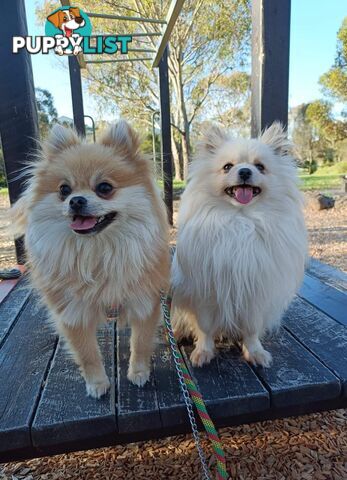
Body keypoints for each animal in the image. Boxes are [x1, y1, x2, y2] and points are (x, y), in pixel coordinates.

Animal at [12, 120, 171, 398]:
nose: (76, 200)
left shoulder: (145, 301)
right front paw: (97, 383)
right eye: (64, 190)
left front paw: (138, 372)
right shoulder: (73, 312)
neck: (97, 252)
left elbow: (140, 342)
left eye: (104, 188)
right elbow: (87, 353)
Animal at [173, 123, 308, 368]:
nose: (245, 171)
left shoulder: (254, 294)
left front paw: (255, 352)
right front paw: (203, 352)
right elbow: (205, 328)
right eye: (227, 167)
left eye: (260, 167)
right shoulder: (206, 292)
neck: (241, 220)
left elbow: (251, 330)